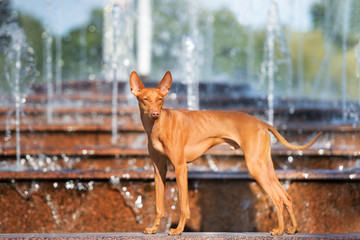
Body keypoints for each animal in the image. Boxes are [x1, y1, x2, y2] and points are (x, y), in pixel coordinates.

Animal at [130, 70, 324, 235]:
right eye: (145, 99)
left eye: (160, 99)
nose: (155, 113)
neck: (158, 126)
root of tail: (262, 123)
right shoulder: (159, 169)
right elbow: (159, 206)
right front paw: (154, 228)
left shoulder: (180, 167)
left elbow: (184, 205)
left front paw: (178, 230)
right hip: (265, 166)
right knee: (286, 197)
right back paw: (292, 229)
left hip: (255, 167)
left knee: (277, 198)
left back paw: (280, 230)